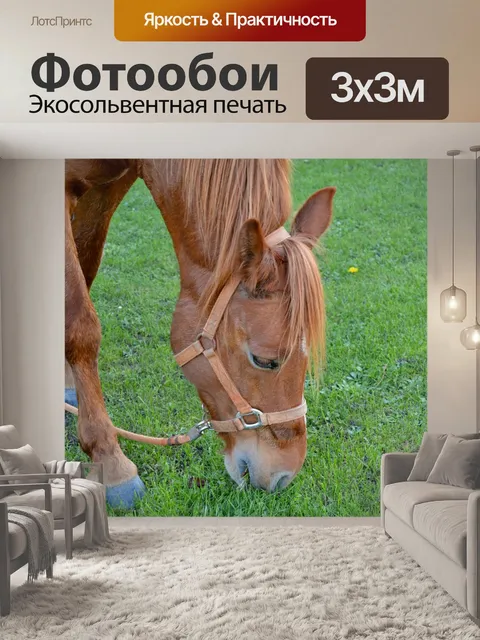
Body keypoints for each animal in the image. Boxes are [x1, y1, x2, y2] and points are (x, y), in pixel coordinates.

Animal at [65, 159, 335, 507]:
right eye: (264, 360)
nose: (284, 474)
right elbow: (79, 323)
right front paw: (111, 463)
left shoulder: (105, 191)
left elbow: (83, 276)